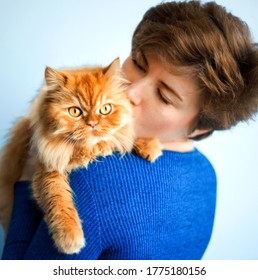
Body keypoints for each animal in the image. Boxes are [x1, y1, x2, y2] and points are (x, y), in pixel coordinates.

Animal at [0, 58, 161, 255]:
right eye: (75, 111)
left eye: (105, 109)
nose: (92, 123)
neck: (86, 150)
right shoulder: (47, 169)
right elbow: (59, 200)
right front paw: (69, 237)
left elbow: (123, 139)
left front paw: (149, 145)